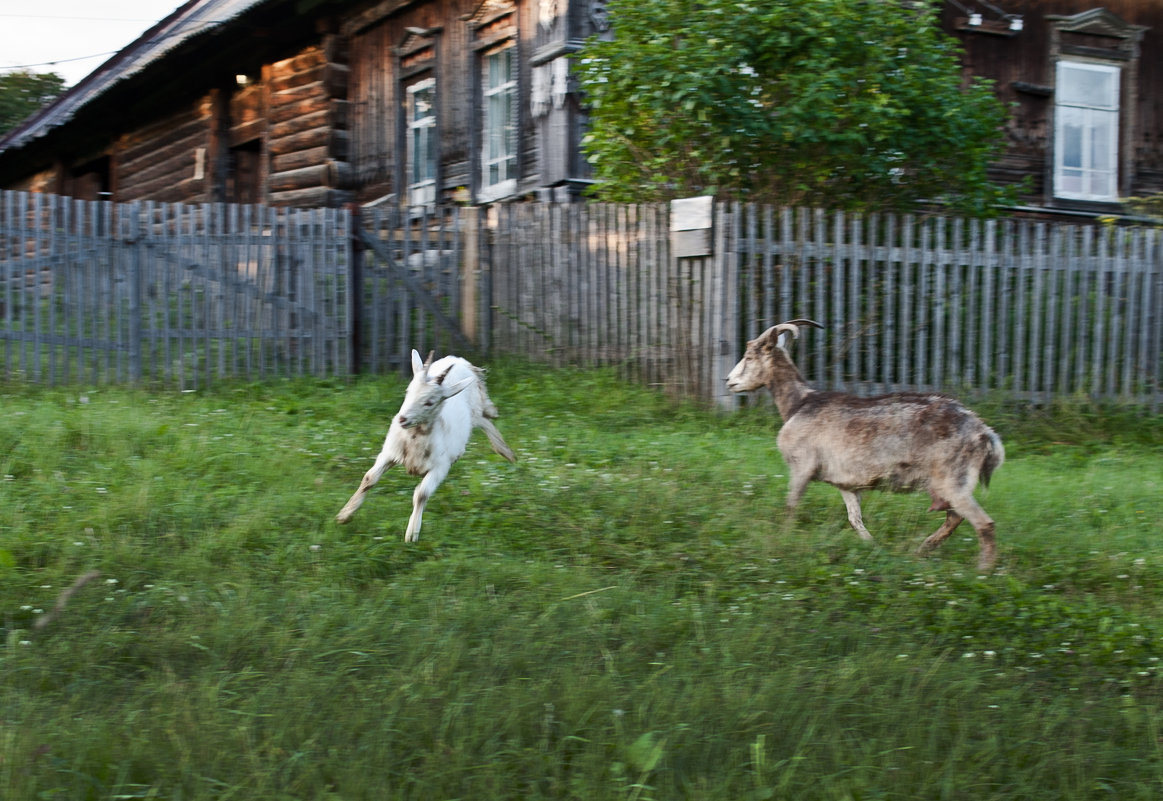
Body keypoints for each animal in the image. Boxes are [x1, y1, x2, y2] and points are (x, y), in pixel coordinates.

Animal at [337, 348, 518, 539]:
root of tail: (460, 361)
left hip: (474, 410)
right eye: (408, 391)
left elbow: (421, 495)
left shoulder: (441, 467)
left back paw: (505, 451)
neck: (415, 440)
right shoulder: (389, 453)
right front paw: (345, 514)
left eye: (429, 402)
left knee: (485, 421)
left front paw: (412, 532)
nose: (402, 419)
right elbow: (369, 478)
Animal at [725, 316, 1009, 571]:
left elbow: (791, 506)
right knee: (955, 517)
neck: (799, 404)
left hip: (952, 480)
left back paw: (982, 572)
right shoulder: (846, 483)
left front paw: (782, 540)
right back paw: (923, 550)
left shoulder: (801, 466)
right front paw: (872, 546)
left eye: (750, 357)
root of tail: (985, 434)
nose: (729, 381)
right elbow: (855, 519)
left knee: (983, 523)